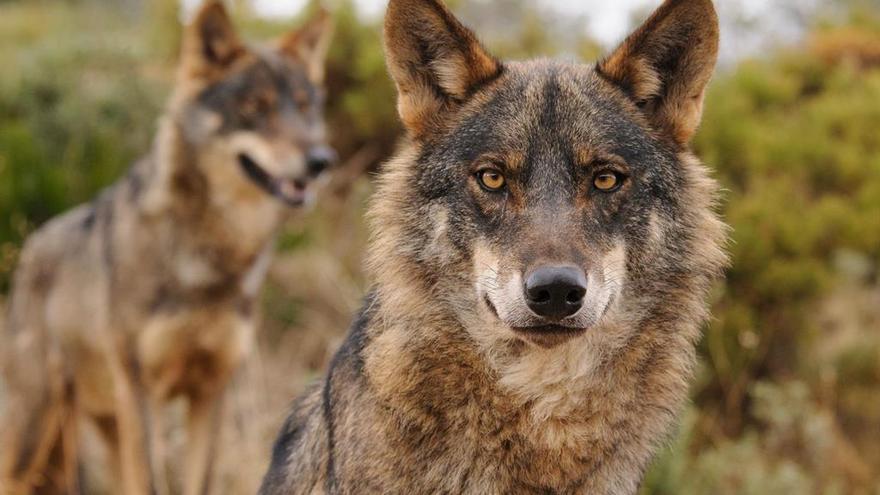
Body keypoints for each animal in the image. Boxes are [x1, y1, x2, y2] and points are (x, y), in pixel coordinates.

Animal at [0, 3, 333, 494]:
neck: (210, 261)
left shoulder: (211, 391)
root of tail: (29, 247)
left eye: (306, 106)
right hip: (36, 434)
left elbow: (202, 481)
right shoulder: (143, 392)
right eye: (255, 107)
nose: (321, 161)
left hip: (102, 428)